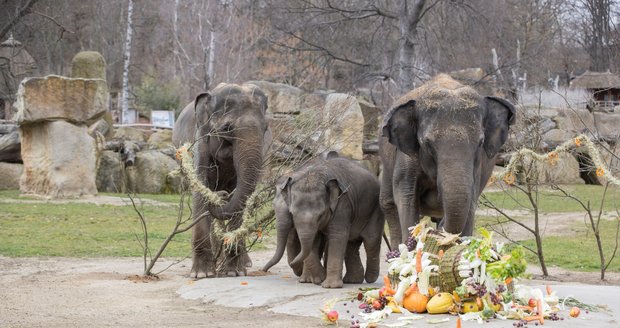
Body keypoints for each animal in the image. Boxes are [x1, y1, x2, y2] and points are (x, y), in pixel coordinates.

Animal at [173, 82, 272, 280]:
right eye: (226, 128)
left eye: (265, 128)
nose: (222, 194)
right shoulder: (199, 143)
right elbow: (201, 190)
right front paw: (201, 274)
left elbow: (241, 196)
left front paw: (233, 272)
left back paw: (243, 264)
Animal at [264, 155, 386, 288]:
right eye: (292, 213)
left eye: (321, 215)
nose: (264, 270)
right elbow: (314, 240)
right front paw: (316, 279)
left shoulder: (343, 204)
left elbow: (337, 236)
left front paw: (329, 285)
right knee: (352, 243)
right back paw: (352, 280)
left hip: (375, 210)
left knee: (371, 240)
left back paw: (370, 278)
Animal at [380, 75, 516, 249]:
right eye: (427, 144)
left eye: (480, 143)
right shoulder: (406, 158)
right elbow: (406, 197)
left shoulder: (477, 167)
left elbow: (470, 202)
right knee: (388, 204)